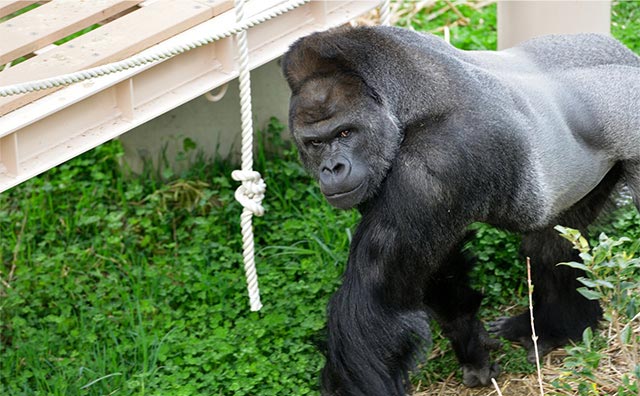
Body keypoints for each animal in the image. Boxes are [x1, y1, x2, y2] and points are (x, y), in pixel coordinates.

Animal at [282, 26, 640, 394]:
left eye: (345, 132)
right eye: (315, 142)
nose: (332, 168)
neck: (406, 102)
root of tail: (627, 55)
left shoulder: (435, 161)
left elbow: (373, 311)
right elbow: (439, 267)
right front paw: (473, 348)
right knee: (552, 242)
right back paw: (560, 325)